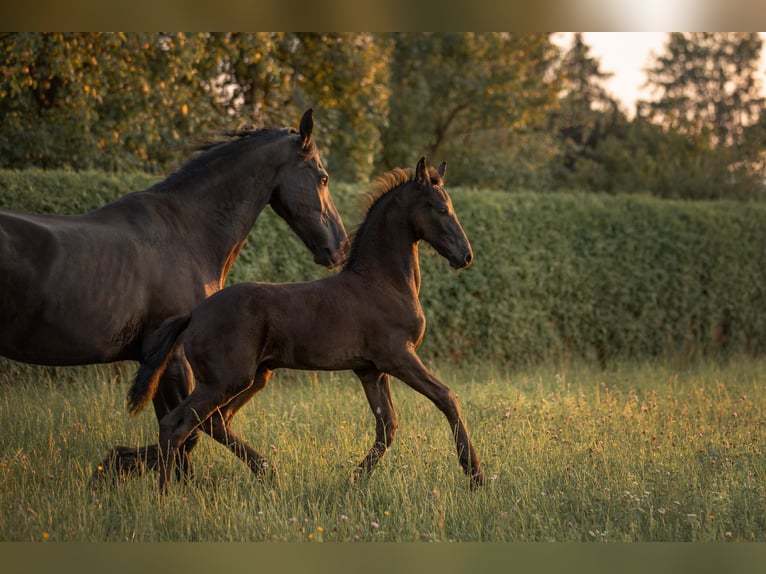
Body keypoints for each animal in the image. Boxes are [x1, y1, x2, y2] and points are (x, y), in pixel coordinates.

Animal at [0, 109, 349, 480]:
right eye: (323, 177)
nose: (340, 248)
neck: (187, 231)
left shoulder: (154, 359)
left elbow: (183, 429)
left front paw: (117, 465)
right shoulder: (175, 357)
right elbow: (190, 432)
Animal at [127, 157, 486, 492]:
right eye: (442, 209)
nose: (466, 256)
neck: (382, 282)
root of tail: (195, 313)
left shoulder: (370, 370)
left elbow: (387, 426)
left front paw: (353, 480)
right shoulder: (398, 356)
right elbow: (445, 397)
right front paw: (475, 475)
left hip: (253, 377)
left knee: (214, 421)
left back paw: (266, 472)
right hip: (225, 379)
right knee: (178, 423)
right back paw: (166, 495)